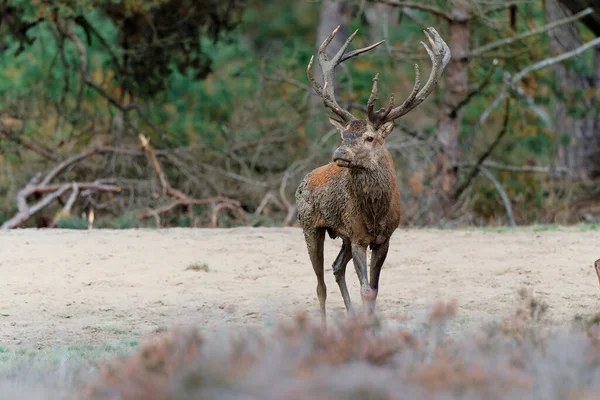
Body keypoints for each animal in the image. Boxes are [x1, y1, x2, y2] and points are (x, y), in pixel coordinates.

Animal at [296, 26, 450, 324]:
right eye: (343, 135)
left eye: (369, 137)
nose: (339, 152)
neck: (375, 213)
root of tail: (305, 178)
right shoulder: (358, 237)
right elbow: (365, 289)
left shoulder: (383, 238)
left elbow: (374, 290)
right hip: (310, 225)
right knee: (320, 284)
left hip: (341, 235)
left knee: (336, 267)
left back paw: (351, 317)